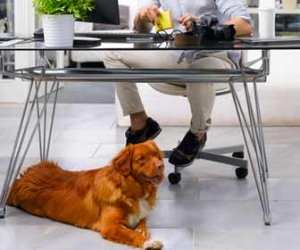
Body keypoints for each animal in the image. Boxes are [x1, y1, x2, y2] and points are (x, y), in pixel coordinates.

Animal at [7, 140, 165, 249]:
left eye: (157, 156)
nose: (161, 165)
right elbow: (132, 233)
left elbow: (142, 221)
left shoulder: (140, 214)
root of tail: (22, 177)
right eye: (142, 159)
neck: (129, 189)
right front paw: (149, 242)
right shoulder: (110, 226)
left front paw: (143, 230)